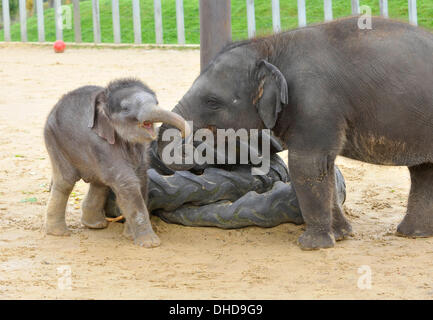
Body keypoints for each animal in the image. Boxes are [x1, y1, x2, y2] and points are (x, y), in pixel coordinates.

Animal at [43, 78, 189, 248]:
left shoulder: (140, 148)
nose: (184, 135)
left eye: (156, 102)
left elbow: (141, 179)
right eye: (126, 108)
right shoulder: (100, 142)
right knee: (65, 182)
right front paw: (151, 244)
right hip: (54, 140)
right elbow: (127, 182)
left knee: (99, 182)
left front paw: (130, 236)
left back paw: (95, 225)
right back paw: (59, 233)